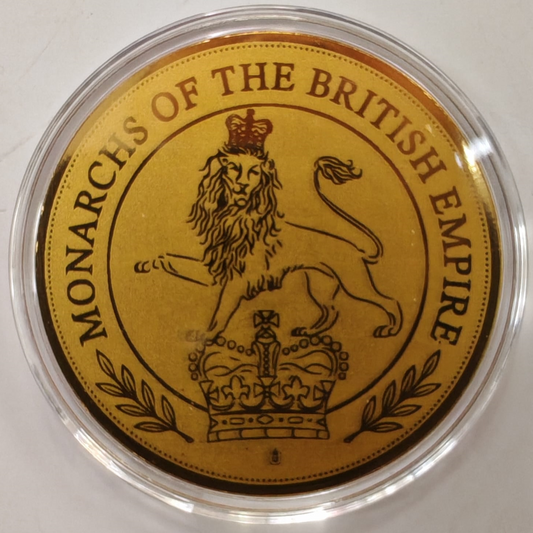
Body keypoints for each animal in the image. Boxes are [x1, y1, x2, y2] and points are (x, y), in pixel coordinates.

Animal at [135, 144, 403, 342]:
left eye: (254, 172)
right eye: (233, 168)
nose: (242, 186)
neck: (234, 219)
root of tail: (356, 250)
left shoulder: (236, 281)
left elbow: (220, 311)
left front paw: (208, 335)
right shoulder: (214, 271)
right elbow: (168, 259)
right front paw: (146, 265)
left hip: (354, 283)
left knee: (389, 301)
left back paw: (390, 330)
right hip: (320, 284)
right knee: (331, 310)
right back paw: (309, 331)